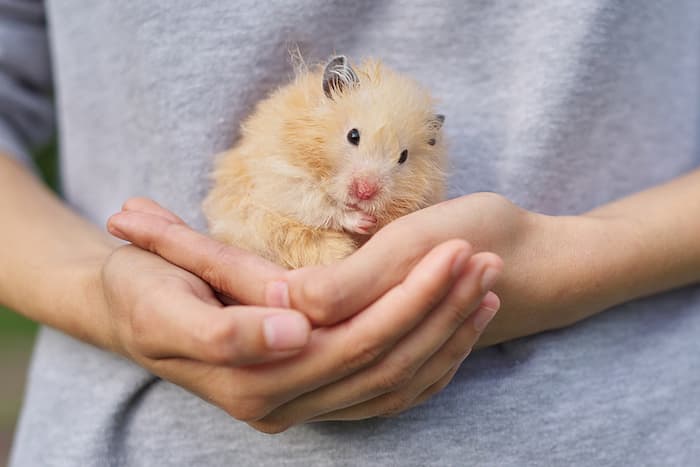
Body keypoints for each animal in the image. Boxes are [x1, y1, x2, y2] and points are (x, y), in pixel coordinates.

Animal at [202, 55, 446, 268]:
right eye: (353, 135)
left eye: (403, 156)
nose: (365, 192)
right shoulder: (283, 176)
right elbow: (319, 205)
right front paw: (362, 221)